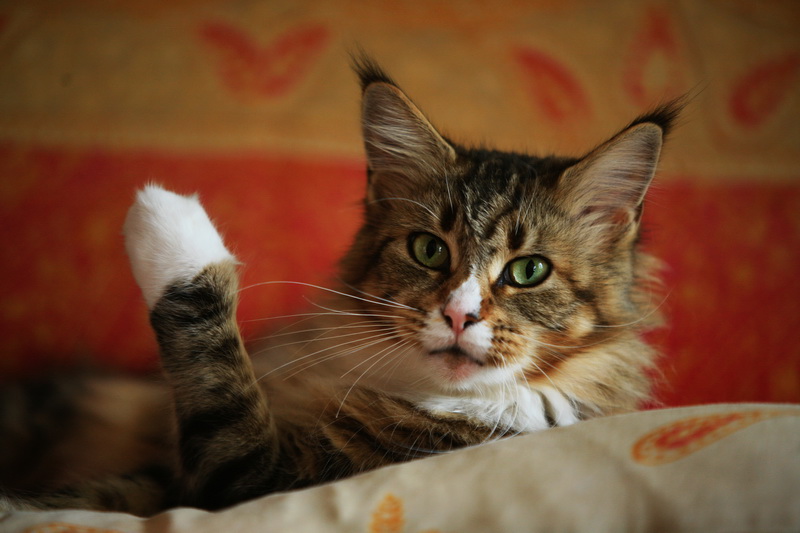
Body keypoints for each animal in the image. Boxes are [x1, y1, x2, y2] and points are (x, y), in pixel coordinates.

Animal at [0, 57, 680, 516]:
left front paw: (170, 215)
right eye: (429, 250)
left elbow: (220, 380)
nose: (459, 316)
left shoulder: (263, 480)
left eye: (529, 271)